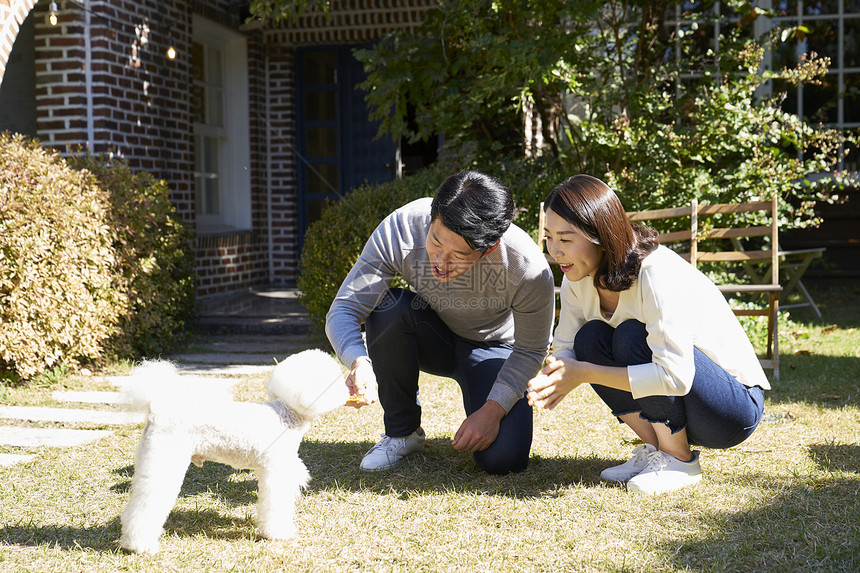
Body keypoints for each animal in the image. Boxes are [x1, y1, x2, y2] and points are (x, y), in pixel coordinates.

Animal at [117, 346, 346, 552]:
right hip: (164, 461)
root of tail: (157, 409)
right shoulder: (276, 471)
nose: (347, 388)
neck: (287, 413)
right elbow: (274, 504)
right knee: (144, 509)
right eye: (331, 377)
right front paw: (279, 532)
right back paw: (140, 545)